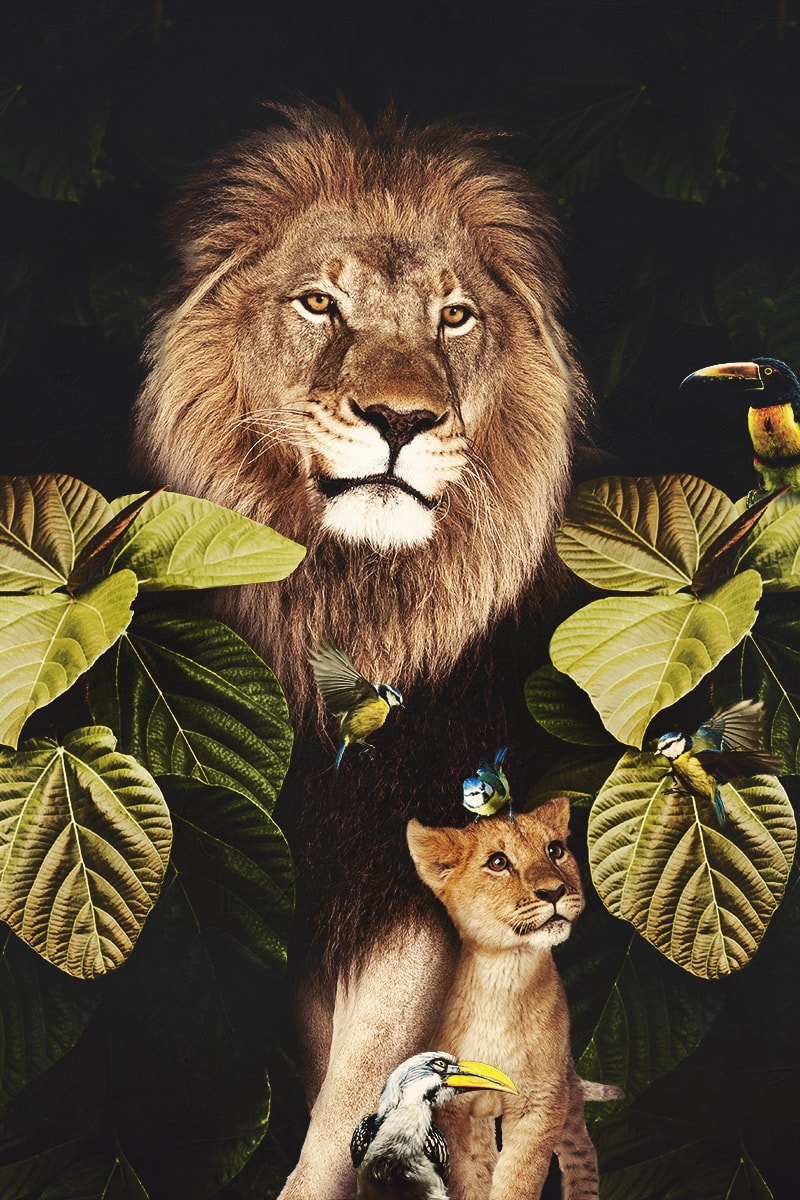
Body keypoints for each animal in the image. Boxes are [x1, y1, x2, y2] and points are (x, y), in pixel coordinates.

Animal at [132, 102, 592, 1198]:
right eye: (318, 304)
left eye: (454, 317)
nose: (400, 419)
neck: (355, 595)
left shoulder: (407, 864)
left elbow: (363, 1078)